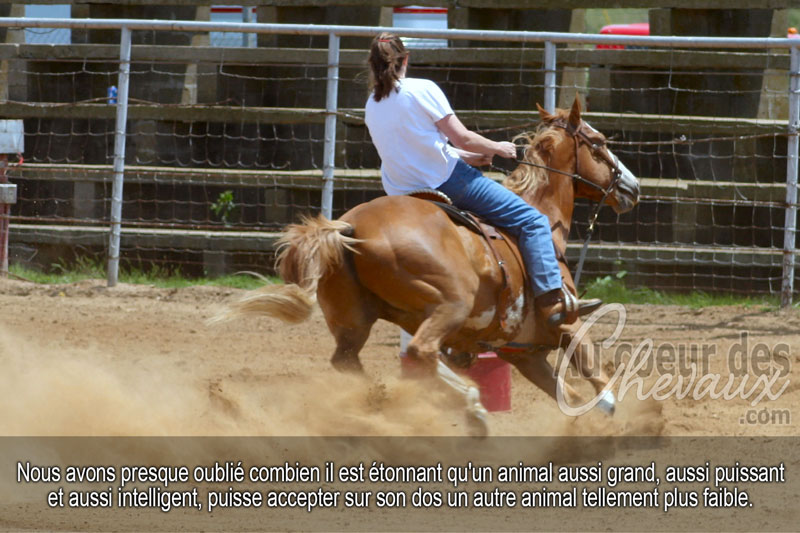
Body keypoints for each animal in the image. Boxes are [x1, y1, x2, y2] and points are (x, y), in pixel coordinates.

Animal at [219, 96, 640, 435]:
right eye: (600, 143)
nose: (632, 187)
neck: (540, 217)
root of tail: (350, 226)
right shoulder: (565, 323)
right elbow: (593, 373)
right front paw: (611, 414)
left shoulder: (522, 352)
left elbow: (567, 394)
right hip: (450, 303)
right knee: (420, 353)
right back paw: (469, 406)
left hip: (357, 319)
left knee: (354, 360)